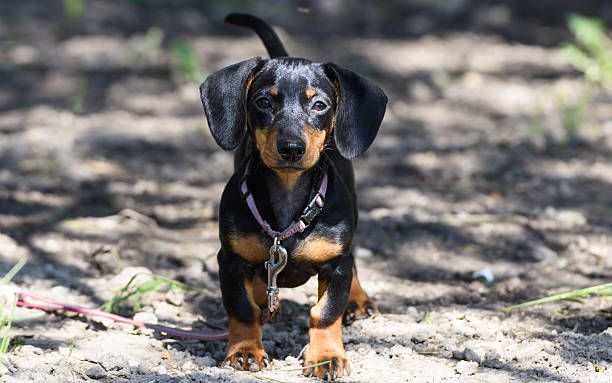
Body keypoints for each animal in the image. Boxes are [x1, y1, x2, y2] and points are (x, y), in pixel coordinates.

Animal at [201, 13, 388, 380]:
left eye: (319, 104)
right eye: (263, 102)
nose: (291, 148)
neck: (288, 197)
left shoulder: (337, 264)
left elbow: (326, 312)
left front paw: (326, 357)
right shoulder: (229, 260)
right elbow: (241, 309)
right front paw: (245, 351)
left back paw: (359, 300)